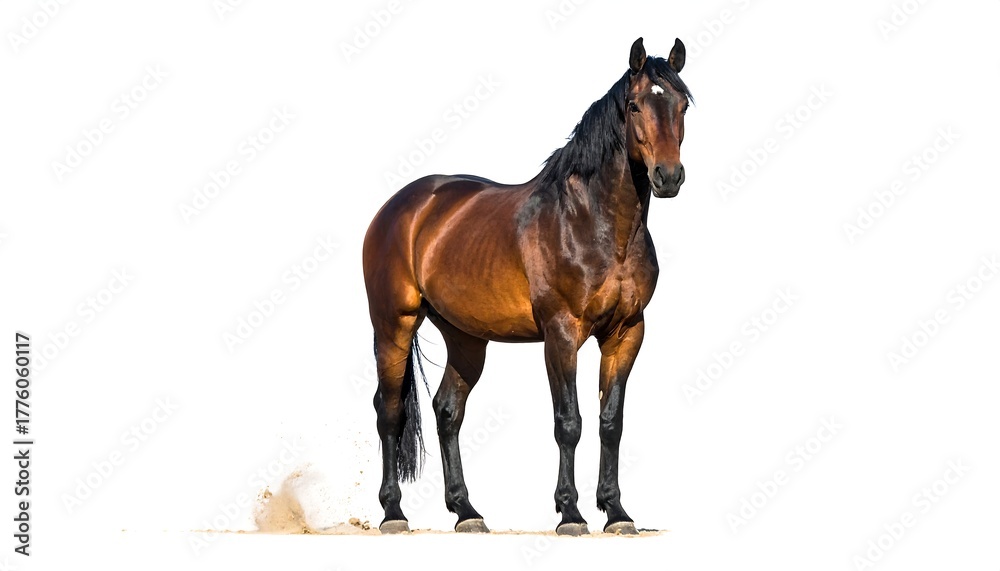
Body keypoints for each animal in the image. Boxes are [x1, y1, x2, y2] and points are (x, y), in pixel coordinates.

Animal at [362, 37, 691, 535]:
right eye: (635, 105)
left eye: (682, 105)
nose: (667, 176)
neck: (593, 223)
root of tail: (401, 205)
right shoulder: (561, 333)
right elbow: (569, 422)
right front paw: (570, 513)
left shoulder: (627, 332)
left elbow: (610, 422)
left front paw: (616, 513)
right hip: (393, 325)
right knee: (390, 412)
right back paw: (394, 513)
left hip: (466, 338)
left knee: (447, 411)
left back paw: (467, 512)